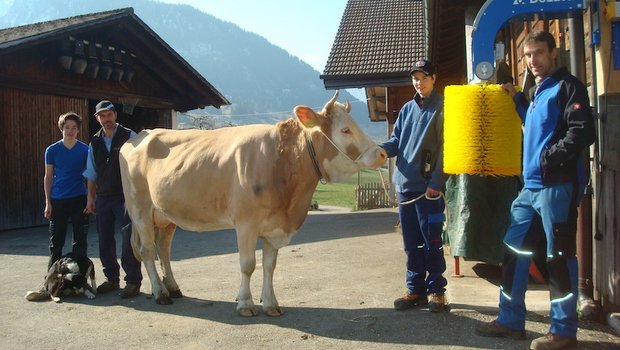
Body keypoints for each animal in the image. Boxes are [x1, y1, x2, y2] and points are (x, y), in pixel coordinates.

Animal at [118, 91, 386, 316]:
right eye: (345, 130)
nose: (382, 154)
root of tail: (141, 134)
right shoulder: (246, 223)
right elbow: (248, 265)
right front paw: (245, 303)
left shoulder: (274, 226)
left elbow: (269, 266)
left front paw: (270, 303)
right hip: (139, 208)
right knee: (147, 250)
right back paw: (160, 293)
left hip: (166, 215)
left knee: (164, 250)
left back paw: (172, 287)